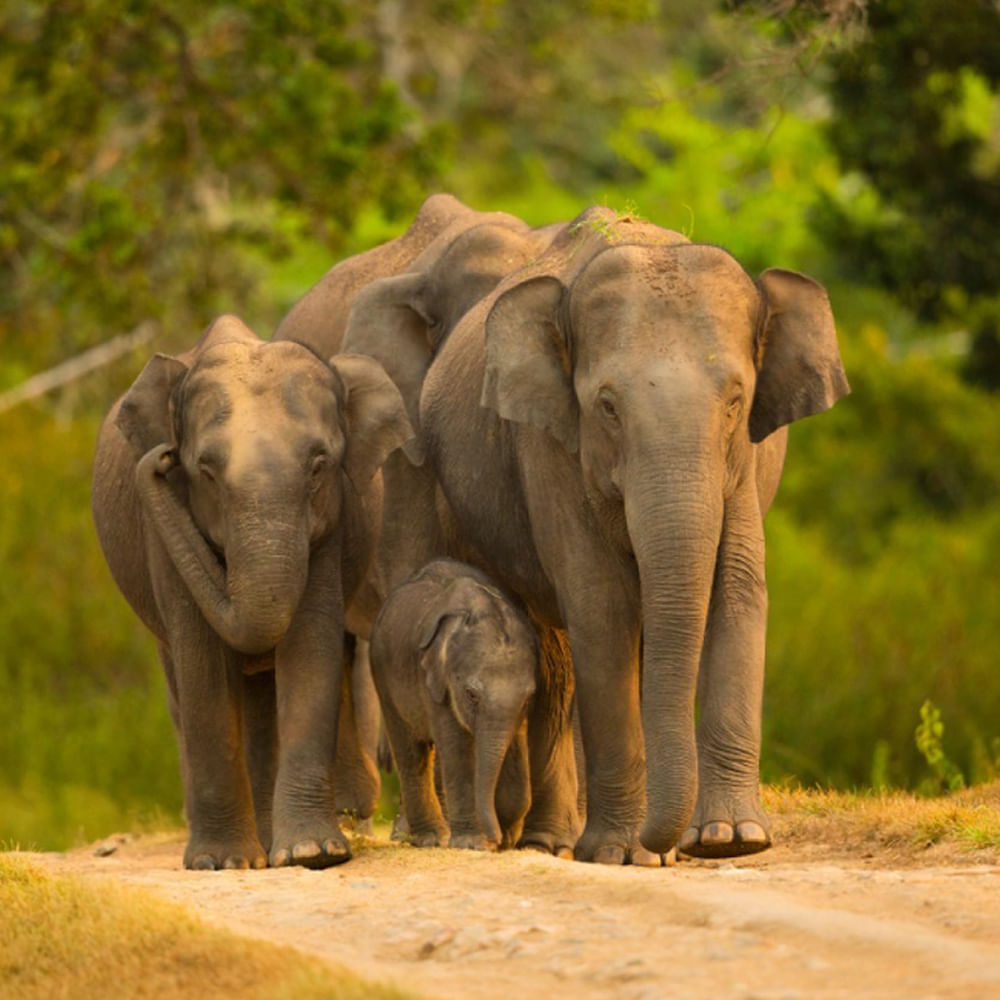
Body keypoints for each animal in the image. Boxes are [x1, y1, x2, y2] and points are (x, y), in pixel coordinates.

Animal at [91, 315, 412, 869]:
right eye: (203, 469)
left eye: (319, 465)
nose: (161, 457)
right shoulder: (164, 532)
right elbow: (201, 662)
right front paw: (221, 863)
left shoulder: (330, 525)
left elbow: (310, 647)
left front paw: (312, 853)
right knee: (183, 684)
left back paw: (268, 843)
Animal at [370, 559, 538, 850]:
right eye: (471, 694)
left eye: (528, 697)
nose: (495, 839)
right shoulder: (435, 683)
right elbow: (457, 749)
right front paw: (473, 843)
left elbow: (516, 745)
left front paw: (506, 839)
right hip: (382, 674)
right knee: (412, 752)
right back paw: (431, 838)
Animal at [393, 207, 850, 863]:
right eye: (607, 407)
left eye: (735, 402)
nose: (676, 844)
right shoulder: (551, 446)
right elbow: (602, 608)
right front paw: (620, 854)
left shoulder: (744, 464)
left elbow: (737, 592)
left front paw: (732, 840)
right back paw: (547, 842)